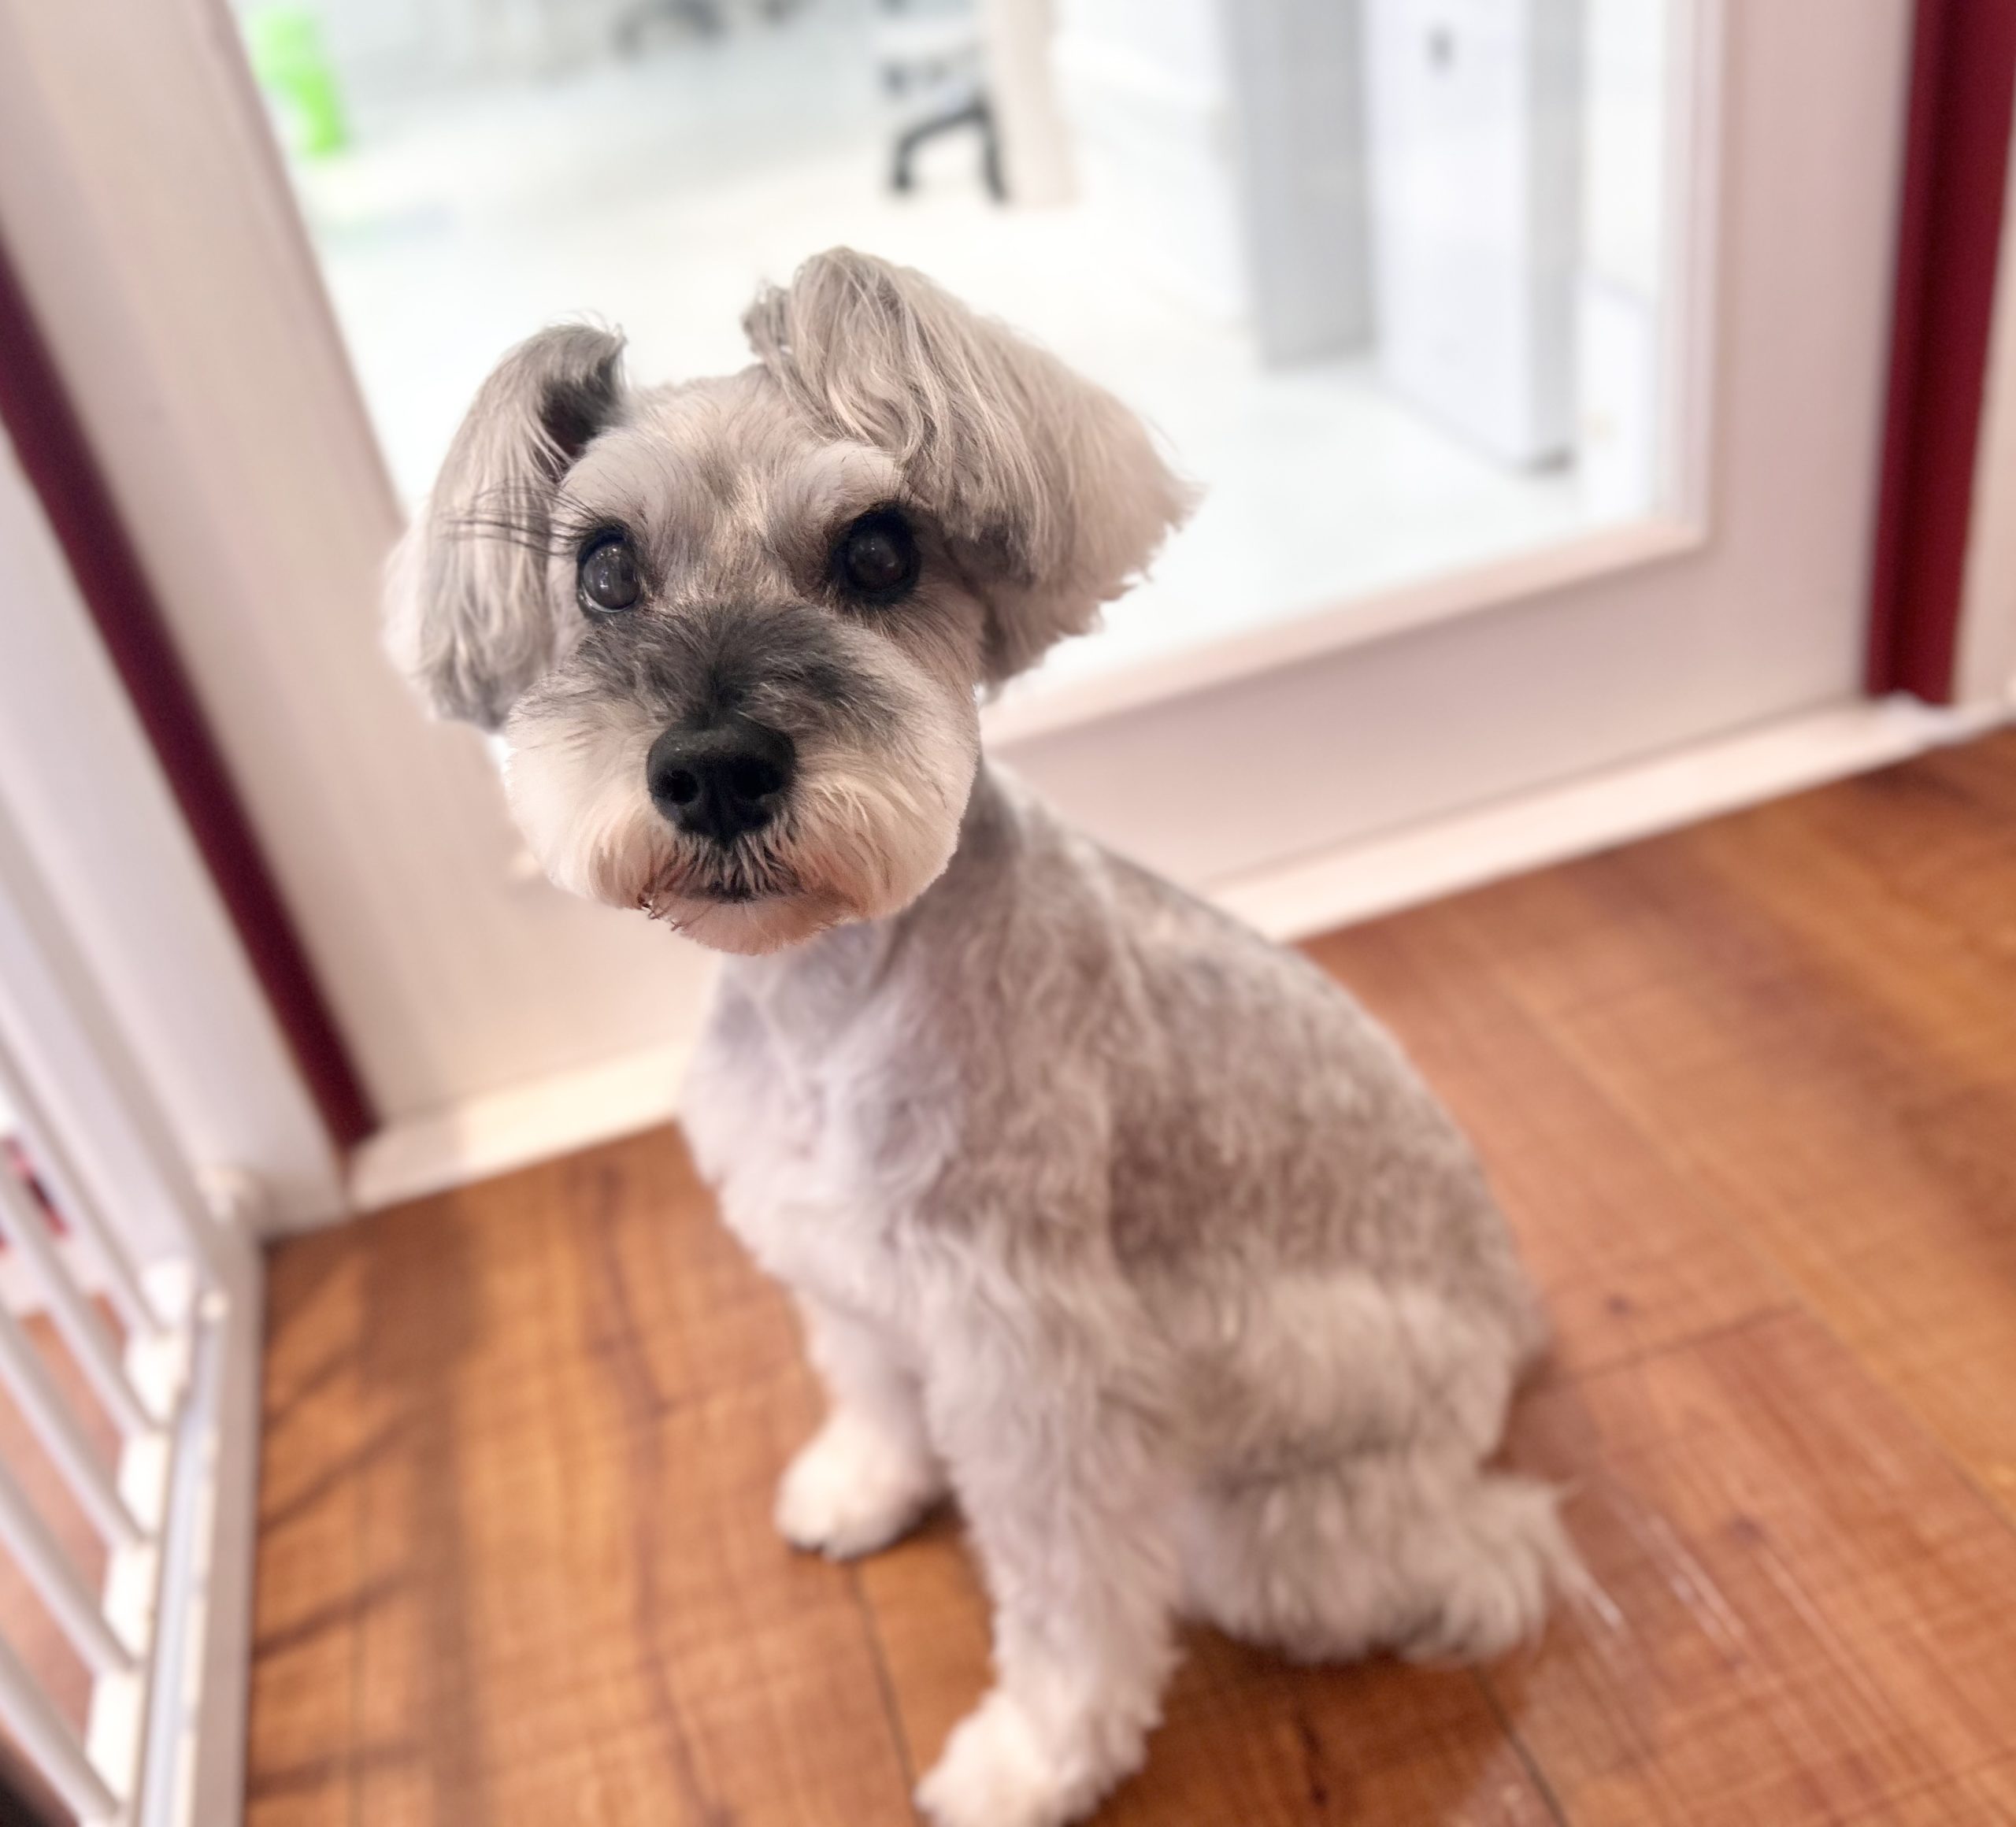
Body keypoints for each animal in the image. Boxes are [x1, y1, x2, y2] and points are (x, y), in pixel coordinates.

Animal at [387, 247, 1573, 1827]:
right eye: (603, 568)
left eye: (883, 552)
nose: (715, 770)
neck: (833, 993)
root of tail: (1515, 1323)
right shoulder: (843, 1265)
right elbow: (872, 1384)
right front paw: (865, 1486)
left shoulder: (1036, 1369)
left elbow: (1067, 1593)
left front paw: (1034, 1756)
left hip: (1282, 1509)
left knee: (1467, 1554)